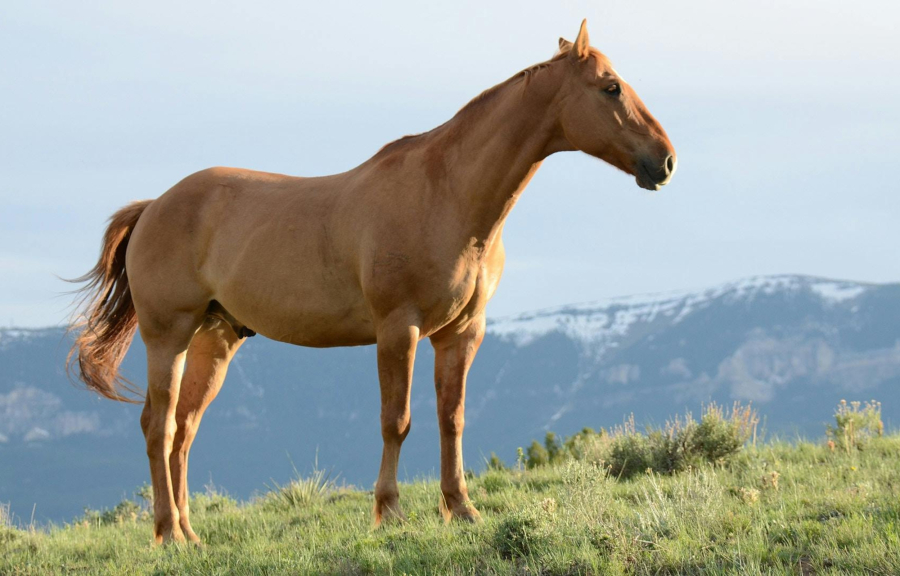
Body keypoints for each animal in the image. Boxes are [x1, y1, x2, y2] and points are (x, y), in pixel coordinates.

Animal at [68, 21, 676, 544]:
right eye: (611, 87)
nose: (665, 161)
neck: (447, 194)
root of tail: (154, 206)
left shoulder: (462, 333)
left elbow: (451, 418)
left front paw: (462, 509)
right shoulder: (397, 330)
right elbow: (396, 421)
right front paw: (390, 512)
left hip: (214, 339)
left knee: (184, 430)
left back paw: (190, 534)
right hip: (168, 335)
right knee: (159, 426)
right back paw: (168, 534)